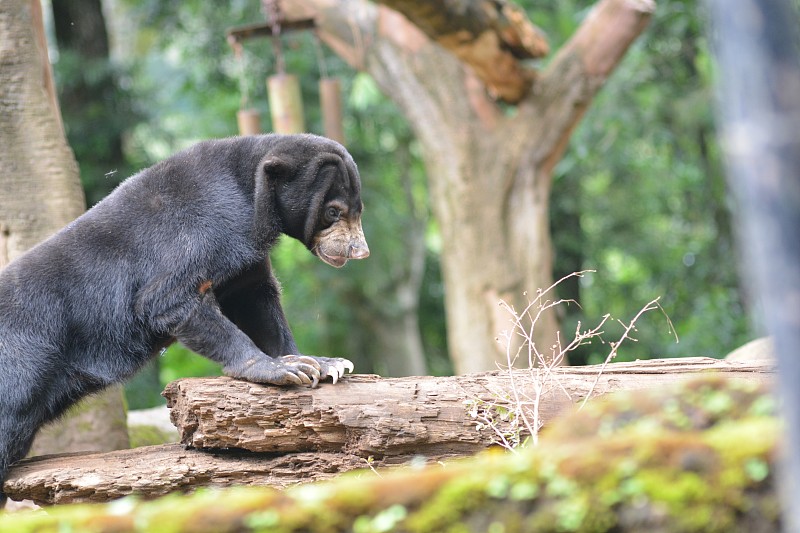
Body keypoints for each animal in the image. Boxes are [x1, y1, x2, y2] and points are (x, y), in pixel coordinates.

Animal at [0, 133, 368, 502]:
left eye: (357, 210)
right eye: (333, 211)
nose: (360, 252)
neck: (251, 193)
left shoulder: (244, 256)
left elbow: (255, 300)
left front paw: (324, 364)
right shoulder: (202, 229)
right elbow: (166, 300)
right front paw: (283, 369)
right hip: (21, 363)